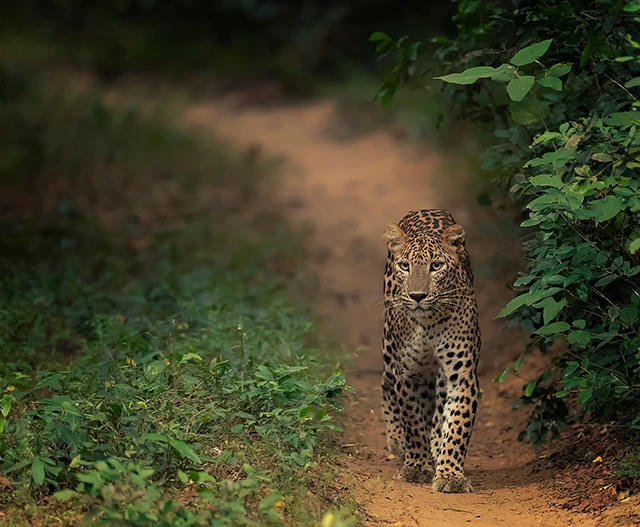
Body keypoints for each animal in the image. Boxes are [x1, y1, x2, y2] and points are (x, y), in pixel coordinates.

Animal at [381, 209, 480, 494]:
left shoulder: (462, 376)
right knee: (385, 383)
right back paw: (397, 440)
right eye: (405, 266)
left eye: (436, 266)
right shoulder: (407, 375)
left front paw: (450, 475)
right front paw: (415, 466)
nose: (417, 296)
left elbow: (457, 425)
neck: (429, 323)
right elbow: (413, 423)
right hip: (389, 352)